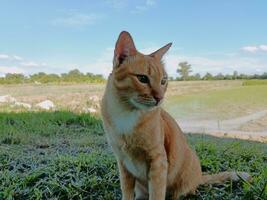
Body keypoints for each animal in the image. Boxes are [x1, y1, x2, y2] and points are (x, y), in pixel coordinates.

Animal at [101, 30, 252, 199]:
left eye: (163, 81)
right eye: (142, 78)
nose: (160, 98)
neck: (126, 113)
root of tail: (199, 177)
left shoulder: (158, 161)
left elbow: (157, 193)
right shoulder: (123, 163)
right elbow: (127, 192)